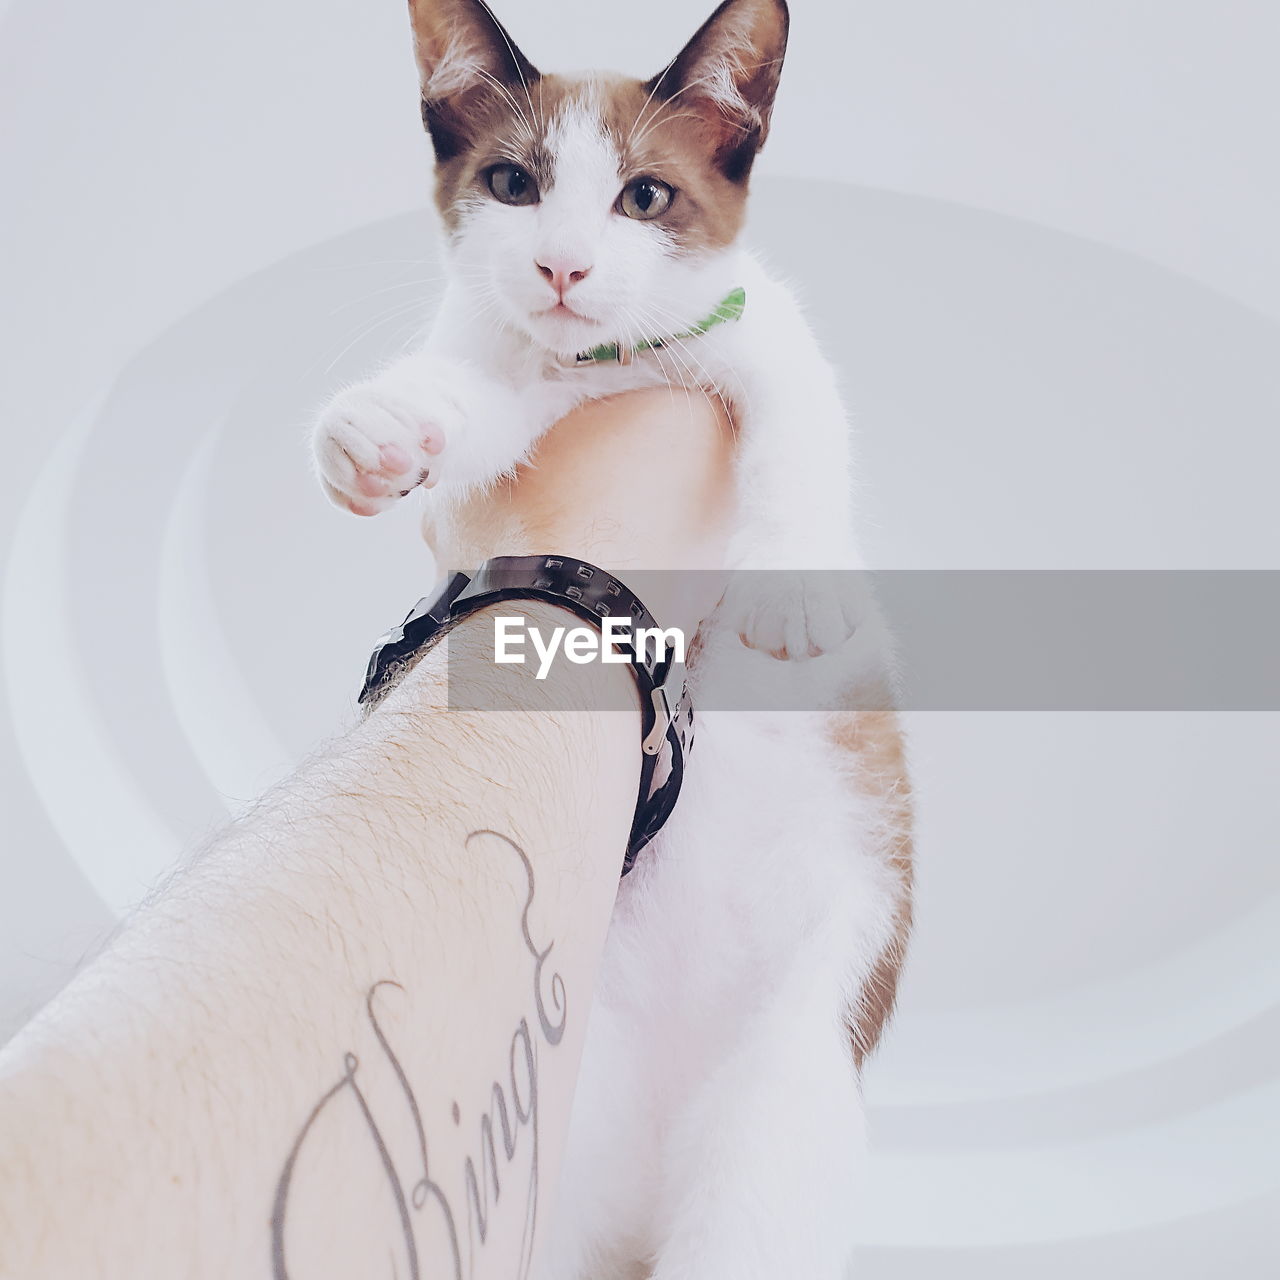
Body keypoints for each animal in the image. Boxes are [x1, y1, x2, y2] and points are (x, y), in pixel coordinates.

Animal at [309, 2, 911, 1280]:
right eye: (512, 184)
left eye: (644, 197)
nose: (563, 266)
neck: (605, 365)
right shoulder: (514, 394)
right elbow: (473, 408)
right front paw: (384, 423)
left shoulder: (760, 333)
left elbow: (797, 415)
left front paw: (792, 586)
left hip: (781, 1097)